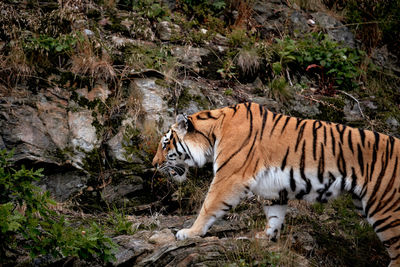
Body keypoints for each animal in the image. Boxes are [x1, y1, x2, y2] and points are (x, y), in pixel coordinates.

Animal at [152, 102, 398, 266]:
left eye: (165, 145)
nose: (154, 164)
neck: (213, 133)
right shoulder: (274, 188)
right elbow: (275, 214)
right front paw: (266, 237)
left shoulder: (229, 176)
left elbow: (209, 205)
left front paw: (189, 232)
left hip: (385, 209)